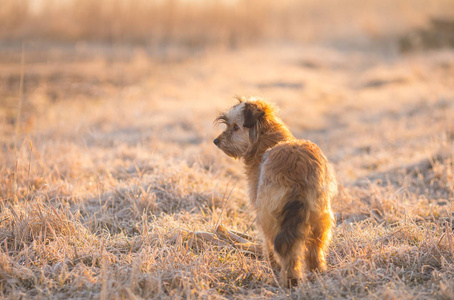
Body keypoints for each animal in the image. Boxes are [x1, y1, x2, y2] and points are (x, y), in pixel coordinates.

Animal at [214, 97, 336, 288]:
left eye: (235, 127)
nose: (216, 141)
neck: (265, 141)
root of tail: (297, 170)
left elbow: (267, 246)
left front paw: (272, 265)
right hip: (321, 217)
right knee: (314, 249)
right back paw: (318, 273)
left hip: (270, 217)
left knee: (285, 250)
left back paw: (289, 280)